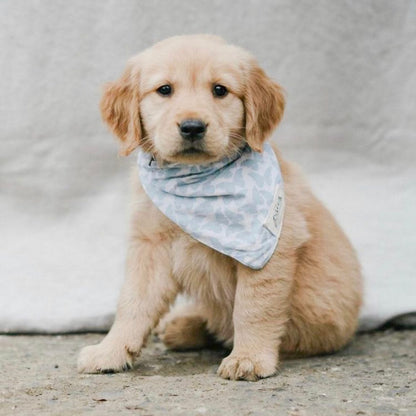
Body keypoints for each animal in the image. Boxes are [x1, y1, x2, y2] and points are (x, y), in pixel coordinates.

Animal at [77, 35, 360, 380]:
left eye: (220, 90)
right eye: (164, 90)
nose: (192, 127)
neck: (195, 178)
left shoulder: (273, 247)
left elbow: (253, 307)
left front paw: (249, 358)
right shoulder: (150, 244)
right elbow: (133, 302)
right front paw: (110, 351)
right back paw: (182, 325)